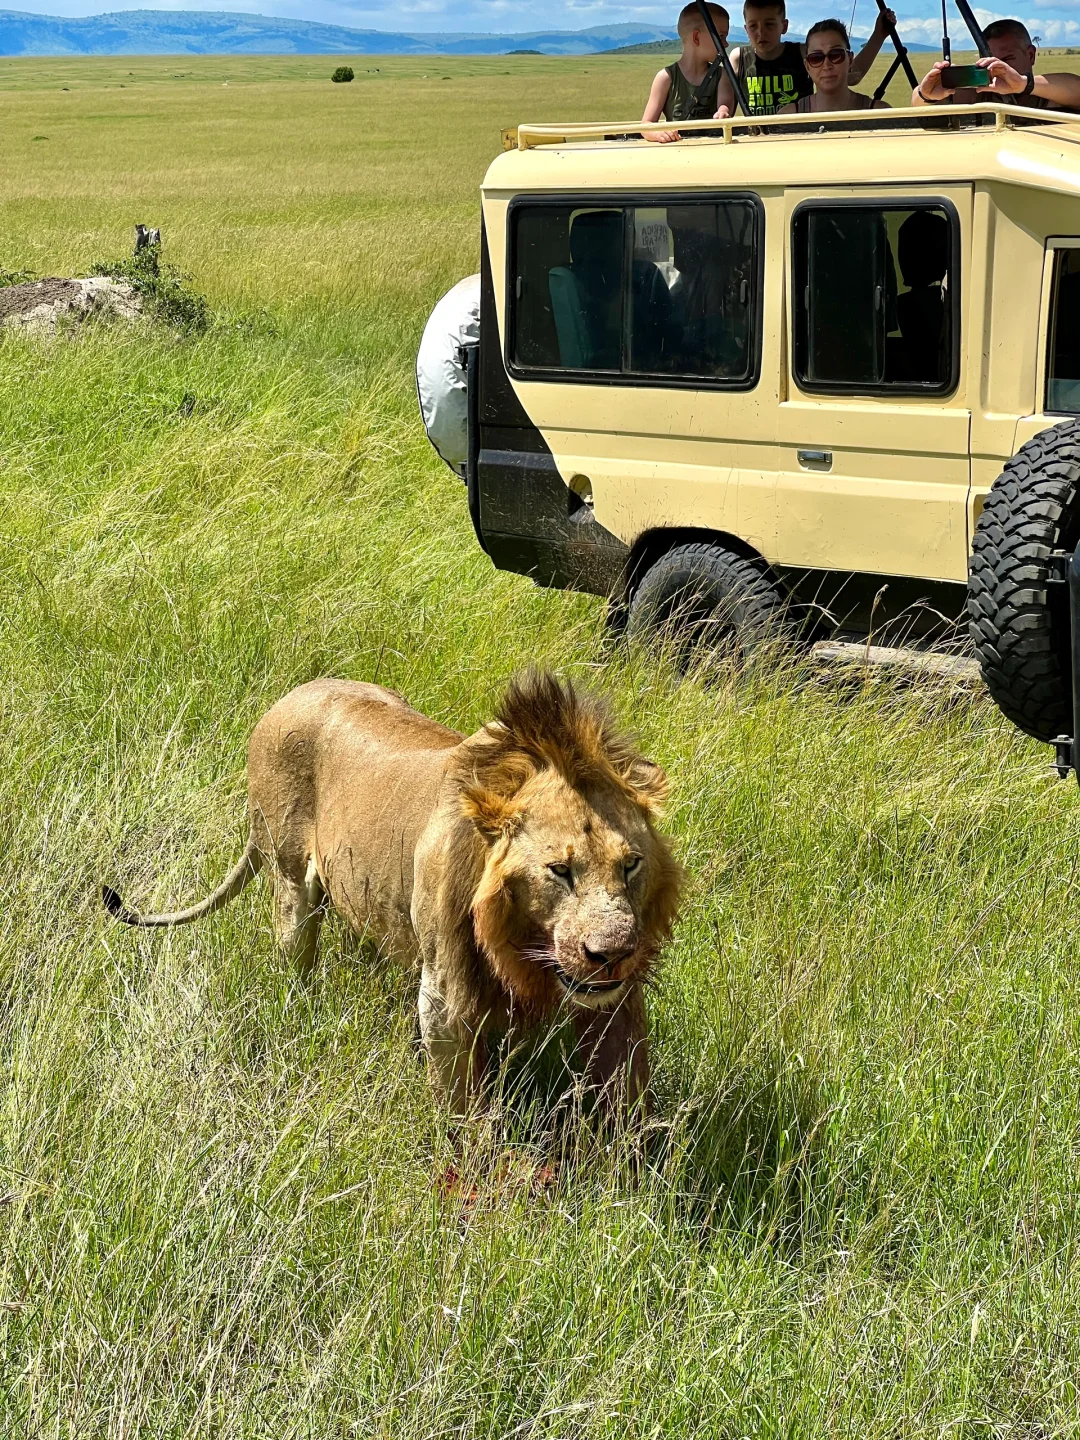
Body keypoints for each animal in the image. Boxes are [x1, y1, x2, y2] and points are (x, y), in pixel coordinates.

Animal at [103, 668, 685, 1117]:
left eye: (631, 865)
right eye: (559, 870)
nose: (613, 953)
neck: (521, 950)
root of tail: (286, 698)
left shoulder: (615, 1000)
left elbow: (626, 1091)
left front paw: (631, 1170)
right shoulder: (445, 999)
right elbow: (461, 1109)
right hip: (291, 883)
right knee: (295, 960)